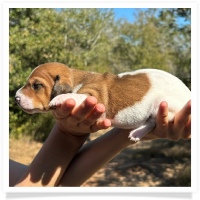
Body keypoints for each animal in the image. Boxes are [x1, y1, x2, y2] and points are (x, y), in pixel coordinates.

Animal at [15, 61, 191, 141]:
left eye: (36, 85)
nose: (16, 98)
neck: (76, 78)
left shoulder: (94, 97)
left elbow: (77, 96)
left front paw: (59, 98)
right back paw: (136, 133)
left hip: (163, 105)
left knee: (154, 121)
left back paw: (138, 132)